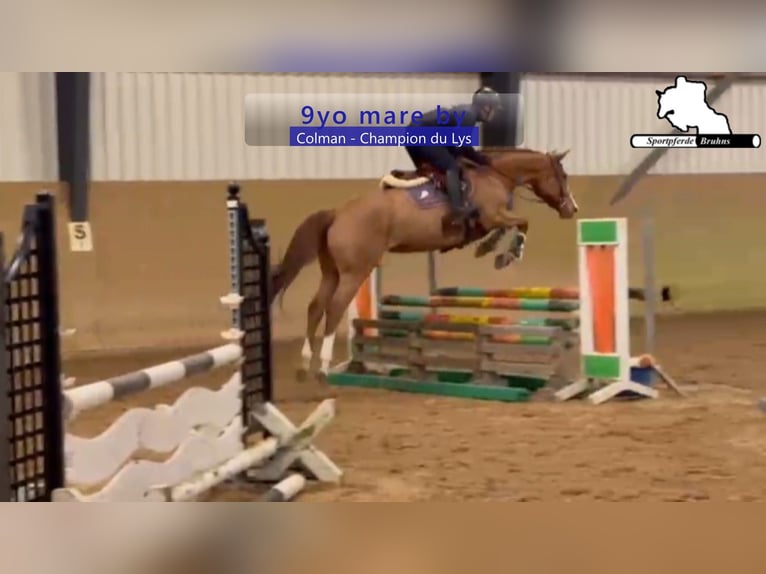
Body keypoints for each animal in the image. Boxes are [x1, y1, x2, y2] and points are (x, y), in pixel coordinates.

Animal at [270, 147, 578, 380]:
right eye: (562, 175)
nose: (572, 209)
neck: (493, 175)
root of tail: (338, 213)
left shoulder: (494, 219)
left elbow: (509, 227)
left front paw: (490, 248)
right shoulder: (493, 216)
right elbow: (521, 223)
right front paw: (505, 253)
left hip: (332, 272)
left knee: (315, 307)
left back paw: (305, 363)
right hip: (355, 271)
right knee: (333, 308)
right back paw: (323, 367)